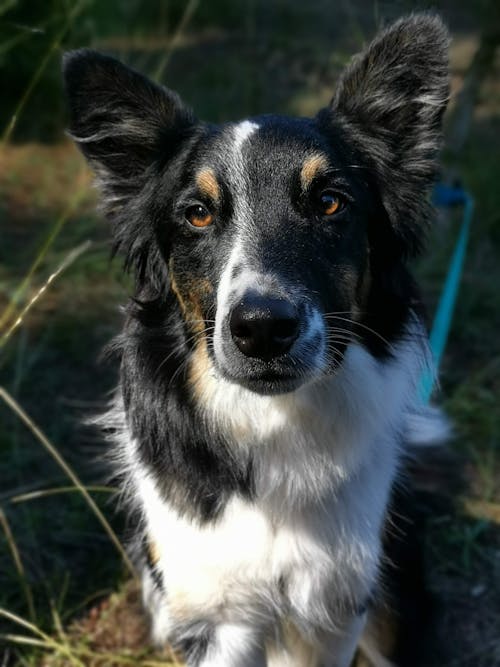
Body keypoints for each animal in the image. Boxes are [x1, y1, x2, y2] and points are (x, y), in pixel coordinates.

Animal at [64, 15, 452, 667]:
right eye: (197, 214)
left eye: (330, 202)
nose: (263, 329)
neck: (274, 424)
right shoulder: (214, 616)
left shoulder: (338, 605)